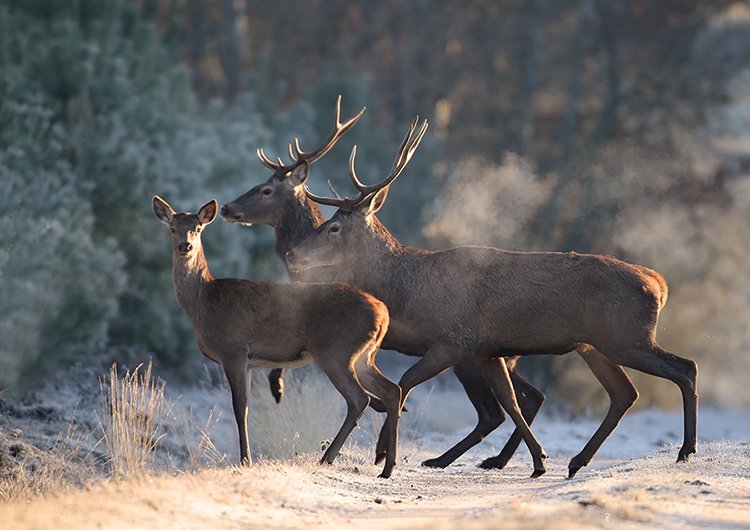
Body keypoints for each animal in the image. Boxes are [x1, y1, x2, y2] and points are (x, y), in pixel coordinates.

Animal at [152, 196, 406, 476]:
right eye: (172, 228)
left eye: (197, 229)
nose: (185, 246)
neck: (204, 303)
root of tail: (382, 312)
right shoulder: (247, 361)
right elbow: (244, 406)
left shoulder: (234, 350)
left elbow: (240, 407)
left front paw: (245, 459)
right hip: (363, 356)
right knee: (392, 390)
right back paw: (387, 467)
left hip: (336, 351)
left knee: (359, 399)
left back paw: (328, 457)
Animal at [222, 99, 548, 470]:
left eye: (266, 190)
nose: (227, 208)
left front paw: (279, 389)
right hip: (500, 357)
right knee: (529, 397)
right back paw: (497, 458)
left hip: (469, 356)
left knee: (494, 410)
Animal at [286, 117, 700, 476]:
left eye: (334, 227)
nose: (292, 254)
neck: (410, 292)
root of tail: (658, 283)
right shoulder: (486, 350)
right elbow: (512, 403)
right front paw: (538, 460)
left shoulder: (455, 341)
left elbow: (405, 385)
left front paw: (382, 453)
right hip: (595, 345)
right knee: (624, 393)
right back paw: (577, 461)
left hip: (626, 337)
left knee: (685, 368)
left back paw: (685, 450)